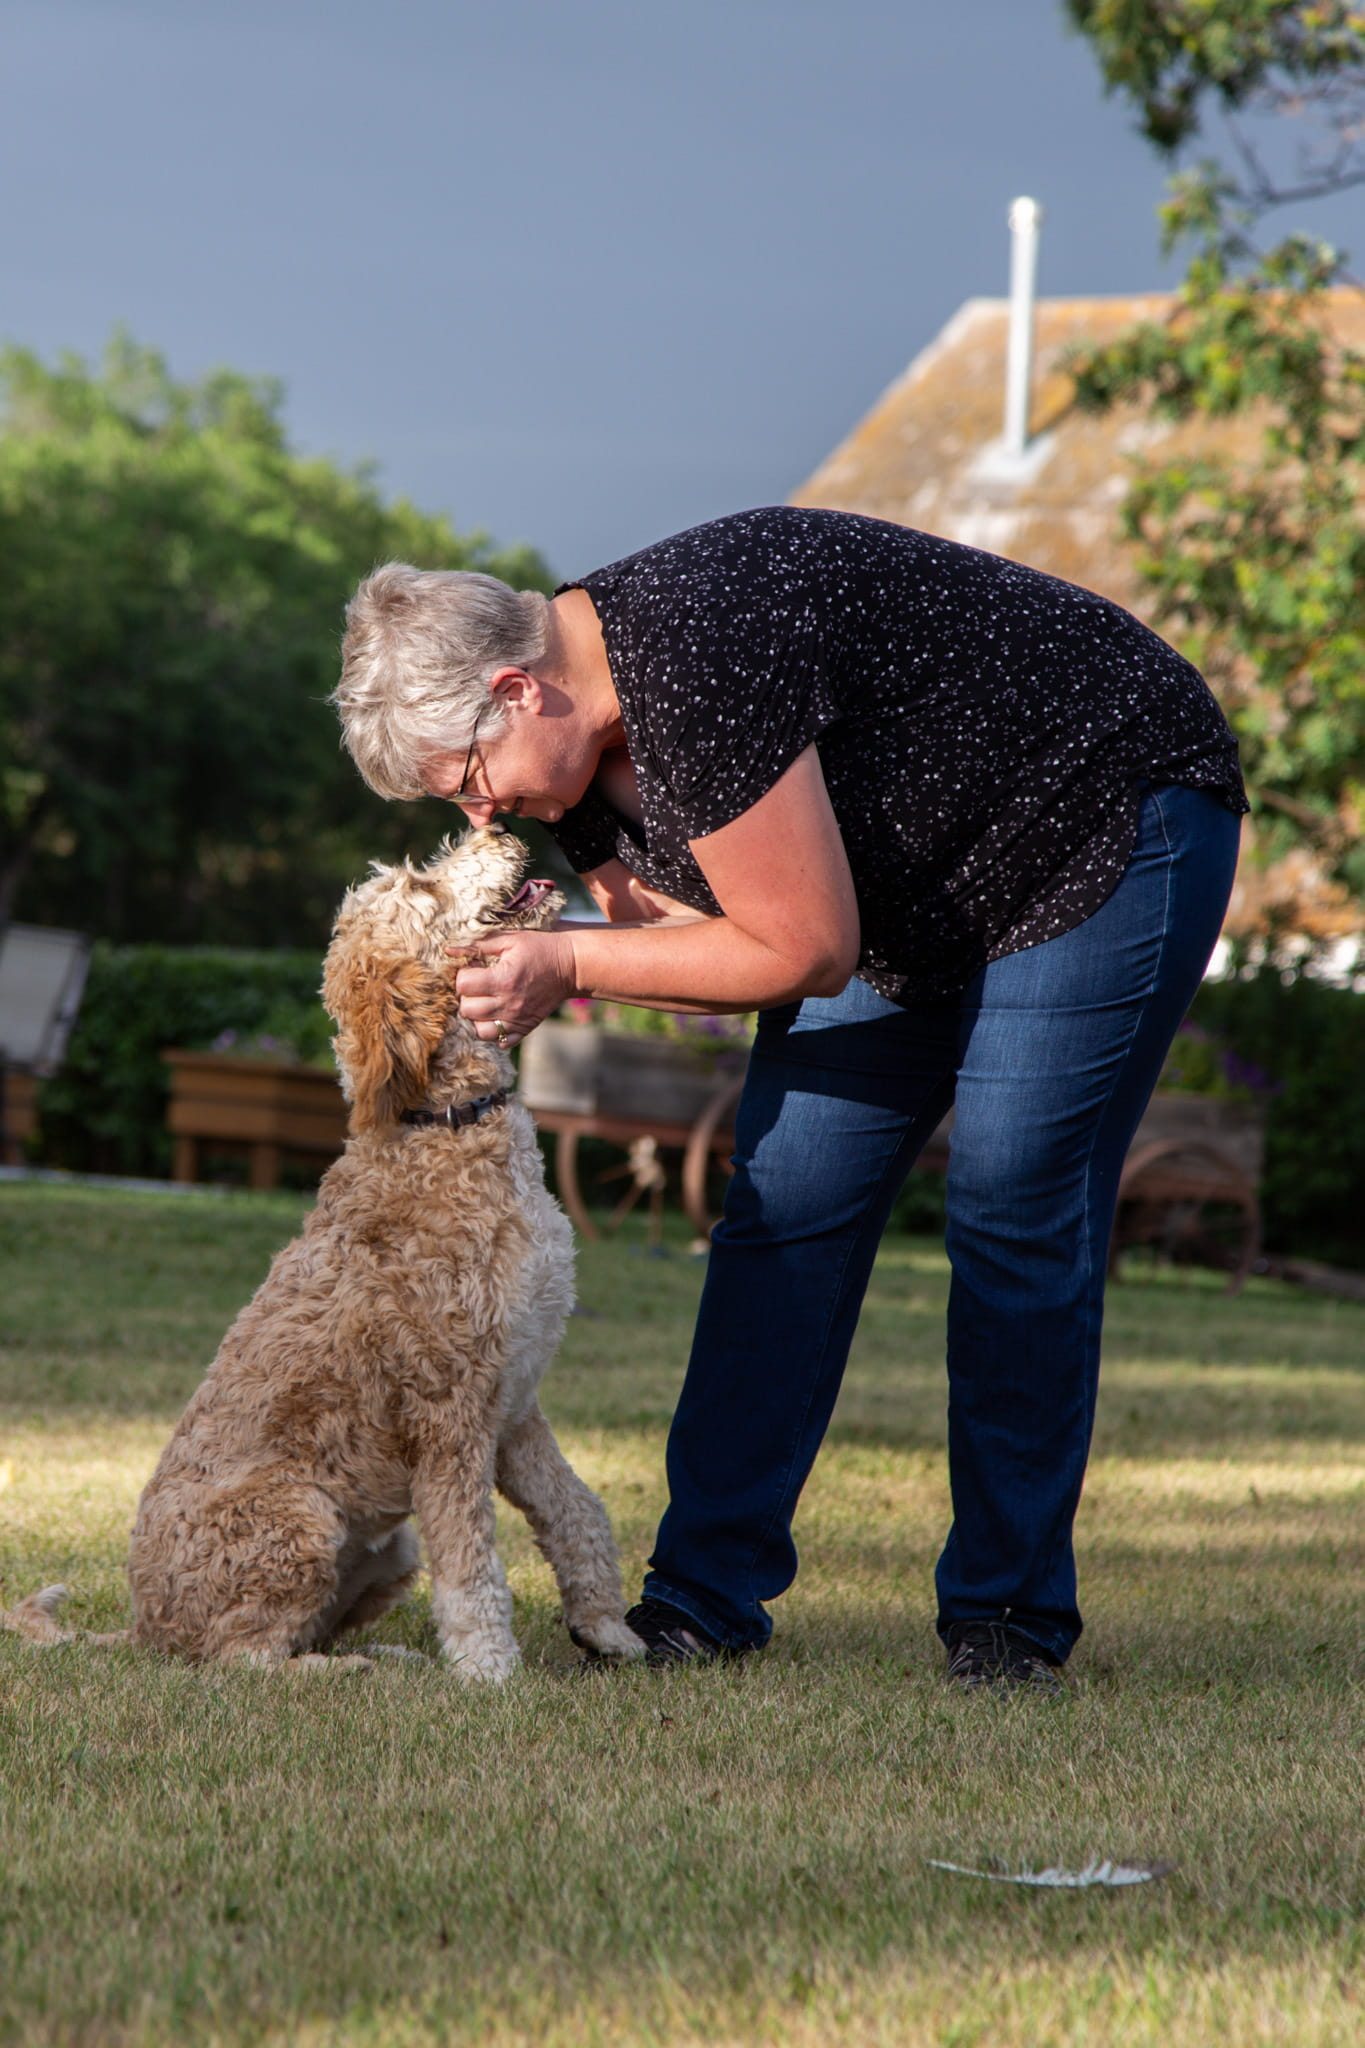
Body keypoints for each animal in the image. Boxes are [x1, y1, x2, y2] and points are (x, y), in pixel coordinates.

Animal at [5, 827, 646, 1679]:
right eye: (423, 889)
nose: (500, 830)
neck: (442, 1125)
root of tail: (143, 1629)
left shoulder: (514, 1404)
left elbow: (577, 1510)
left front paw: (606, 1628)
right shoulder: (449, 1416)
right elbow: (471, 1564)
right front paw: (490, 1672)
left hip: (389, 1546)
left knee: (302, 1629)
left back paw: (389, 1655)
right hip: (300, 1517)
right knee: (242, 1658)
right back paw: (344, 1671)